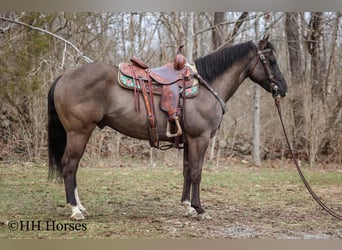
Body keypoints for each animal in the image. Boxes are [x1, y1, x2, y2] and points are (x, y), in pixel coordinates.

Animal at [48, 34, 288, 220]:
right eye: (272, 60)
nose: (283, 89)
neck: (207, 86)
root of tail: (64, 76)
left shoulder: (189, 140)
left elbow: (187, 171)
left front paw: (188, 206)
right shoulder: (199, 138)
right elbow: (197, 172)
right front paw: (200, 209)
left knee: (73, 166)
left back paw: (80, 207)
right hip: (79, 132)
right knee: (69, 165)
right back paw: (75, 210)